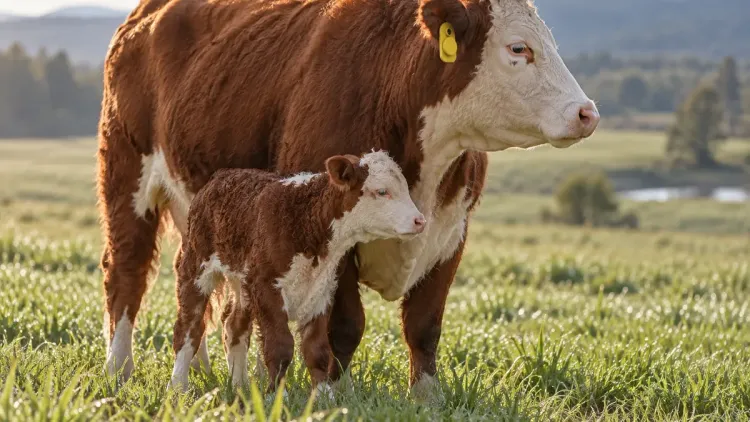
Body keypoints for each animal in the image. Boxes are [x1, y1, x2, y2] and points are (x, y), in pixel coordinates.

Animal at [168, 151, 425, 393]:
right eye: (382, 191)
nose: (419, 220)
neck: (306, 222)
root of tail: (221, 175)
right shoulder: (266, 287)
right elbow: (280, 348)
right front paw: (275, 396)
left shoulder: (321, 292)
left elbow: (317, 351)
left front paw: (324, 397)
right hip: (196, 266)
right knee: (189, 328)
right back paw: (179, 387)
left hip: (241, 283)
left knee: (234, 327)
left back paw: (239, 386)